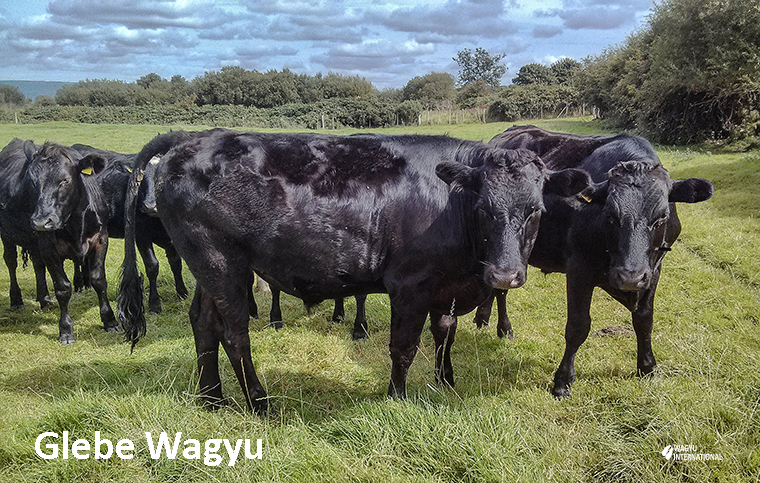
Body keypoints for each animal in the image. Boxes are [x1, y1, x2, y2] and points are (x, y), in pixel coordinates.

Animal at [0, 139, 119, 344]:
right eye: (32, 182)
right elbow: (63, 289)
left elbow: (99, 281)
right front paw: (66, 330)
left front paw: (109, 321)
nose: (40, 222)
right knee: (11, 262)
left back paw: (44, 299)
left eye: (65, 180)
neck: (75, 222)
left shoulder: (100, 239)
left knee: (37, 265)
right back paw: (16, 300)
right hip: (7, 234)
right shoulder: (49, 249)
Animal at [71, 144, 189, 314]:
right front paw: (154, 304)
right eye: (140, 180)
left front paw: (182, 292)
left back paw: (87, 284)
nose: (150, 206)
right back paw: (79, 285)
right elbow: (152, 265)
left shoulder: (170, 237)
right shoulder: (141, 235)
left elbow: (176, 262)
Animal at [119, 129, 592, 412]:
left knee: (203, 323)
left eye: (536, 210)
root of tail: (190, 137)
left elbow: (445, 332)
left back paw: (211, 397)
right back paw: (258, 400)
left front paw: (445, 382)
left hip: (207, 266)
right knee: (234, 333)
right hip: (222, 262)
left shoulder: (446, 286)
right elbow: (403, 347)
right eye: (484, 208)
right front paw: (397, 398)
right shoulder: (410, 285)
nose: (505, 276)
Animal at [478, 125, 716, 400]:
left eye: (662, 216)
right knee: (500, 289)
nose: (630, 277)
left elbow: (644, 320)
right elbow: (578, 326)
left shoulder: (654, 269)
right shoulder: (579, 268)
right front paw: (563, 381)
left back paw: (483, 319)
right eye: (611, 215)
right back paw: (502, 328)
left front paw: (647, 367)